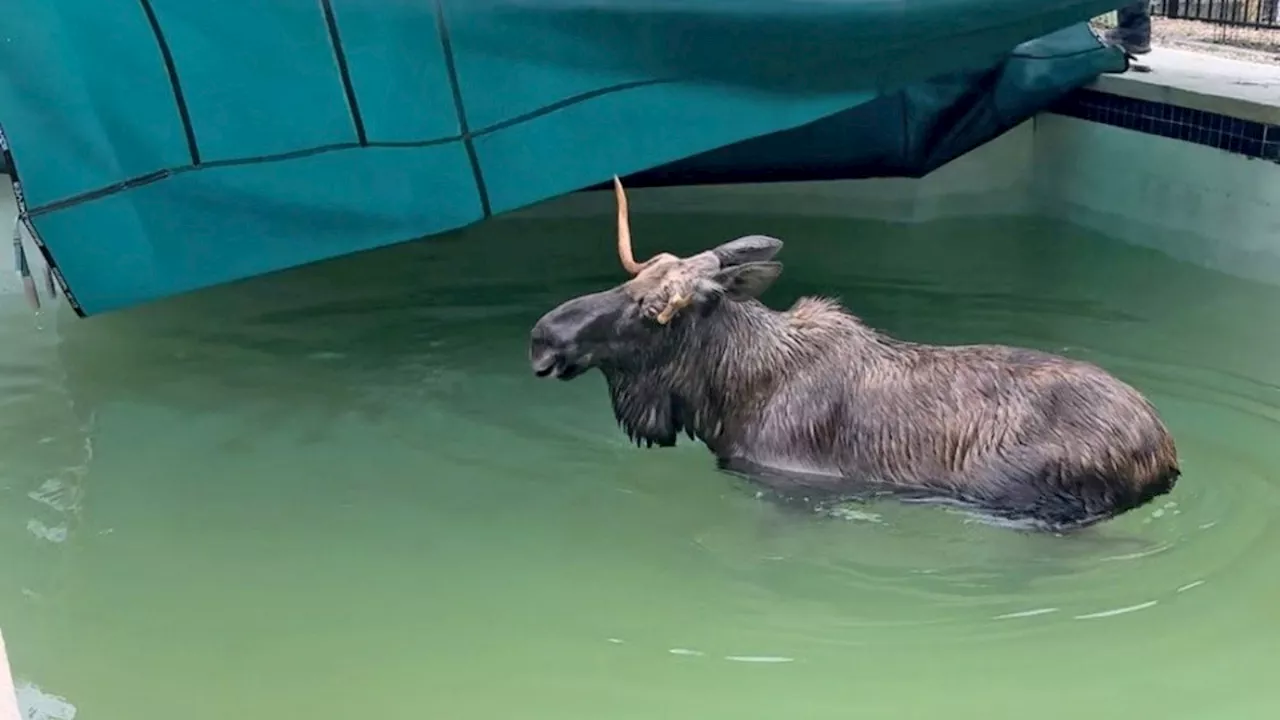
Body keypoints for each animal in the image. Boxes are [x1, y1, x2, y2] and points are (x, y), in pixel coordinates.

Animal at [529, 176, 1177, 530]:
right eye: (631, 283)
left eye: (649, 310)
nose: (543, 336)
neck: (726, 392)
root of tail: (1166, 453)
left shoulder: (793, 488)